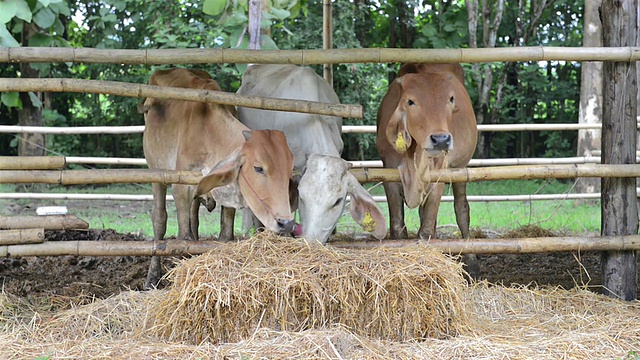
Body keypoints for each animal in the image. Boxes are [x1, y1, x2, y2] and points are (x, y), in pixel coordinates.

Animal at [141, 67, 296, 286]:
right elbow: (184, 236)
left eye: (290, 169)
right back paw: (152, 277)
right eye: (258, 168)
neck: (209, 132)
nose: (287, 223)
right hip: (156, 173)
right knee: (160, 220)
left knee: (194, 218)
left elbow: (225, 234)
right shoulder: (181, 188)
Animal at [378, 62, 478, 276]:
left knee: (462, 210)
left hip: (461, 168)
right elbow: (397, 225)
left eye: (450, 99)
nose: (441, 139)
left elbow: (426, 229)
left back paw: (472, 263)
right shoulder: (389, 174)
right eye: (410, 101)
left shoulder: (439, 175)